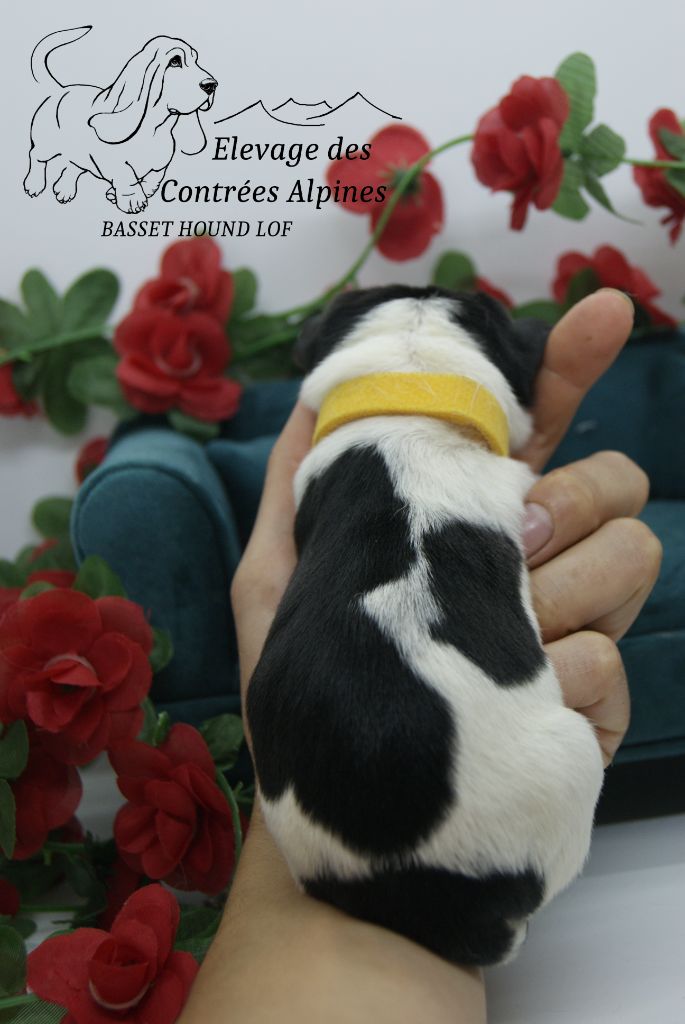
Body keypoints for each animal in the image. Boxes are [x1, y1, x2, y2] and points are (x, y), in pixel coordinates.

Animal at [24, 27, 217, 214]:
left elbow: (152, 181)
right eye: (175, 61)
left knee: (73, 166)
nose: (211, 85)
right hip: (48, 145)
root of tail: (60, 90)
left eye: (196, 60)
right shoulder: (114, 162)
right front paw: (133, 201)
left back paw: (65, 189)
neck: (155, 130)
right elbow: (127, 177)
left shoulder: (160, 166)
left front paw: (116, 194)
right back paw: (34, 185)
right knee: (35, 156)